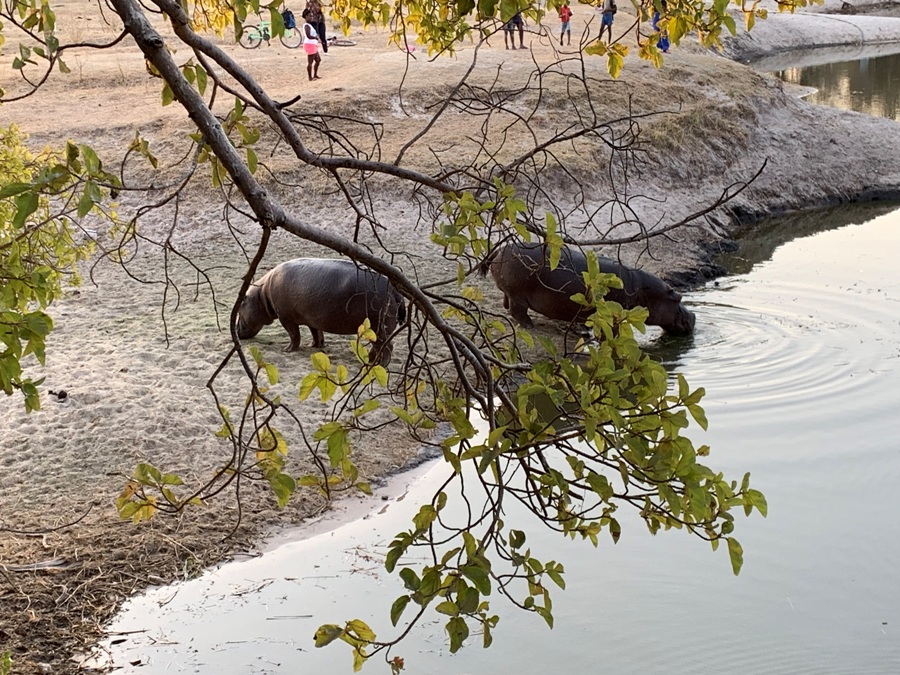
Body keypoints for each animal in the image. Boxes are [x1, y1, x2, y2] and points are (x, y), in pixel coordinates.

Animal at [239, 258, 408, 368]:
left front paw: (287, 350)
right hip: (374, 330)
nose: (235, 330)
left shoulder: (285, 318)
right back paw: (370, 360)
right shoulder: (312, 318)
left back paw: (379, 365)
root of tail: (393, 289)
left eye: (241, 304)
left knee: (387, 346)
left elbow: (294, 335)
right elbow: (316, 332)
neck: (262, 294)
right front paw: (315, 345)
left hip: (379, 329)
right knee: (378, 346)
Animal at [478, 244, 696, 336]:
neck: (644, 291)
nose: (693, 316)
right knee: (518, 312)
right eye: (678, 297)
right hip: (519, 296)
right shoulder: (613, 317)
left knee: (506, 304)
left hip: (511, 293)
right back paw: (530, 326)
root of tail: (500, 249)